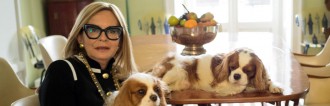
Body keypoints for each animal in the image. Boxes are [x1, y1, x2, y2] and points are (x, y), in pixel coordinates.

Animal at [148, 47, 282, 96]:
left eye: (248, 71)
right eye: (232, 67)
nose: (237, 76)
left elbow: (265, 80)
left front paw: (274, 86)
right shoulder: (225, 87)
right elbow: (241, 87)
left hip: (181, 82)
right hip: (178, 70)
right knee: (159, 81)